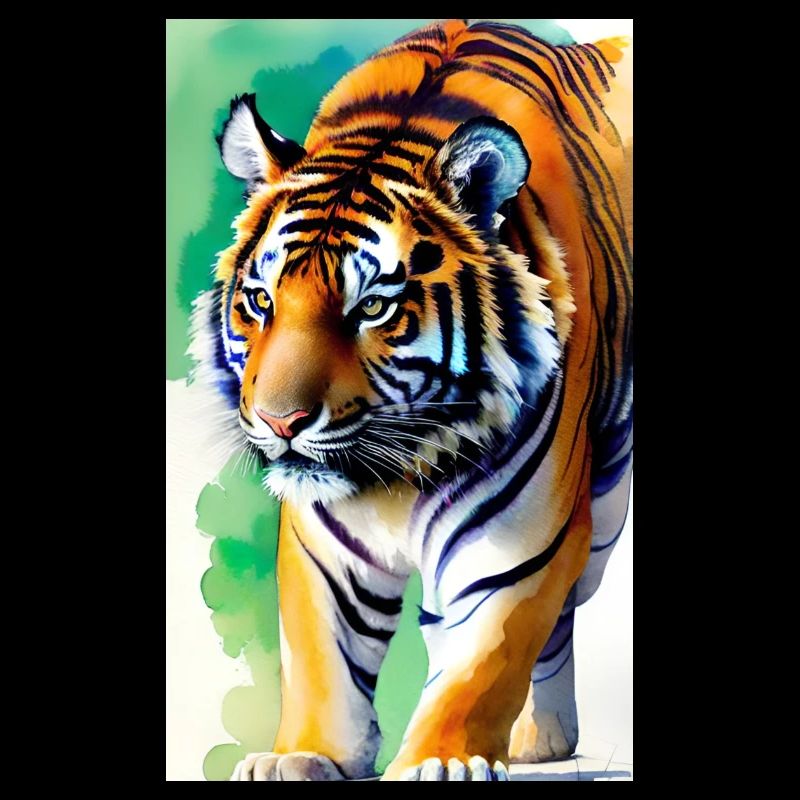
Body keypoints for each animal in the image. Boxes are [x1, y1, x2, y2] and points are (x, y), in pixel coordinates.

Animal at [189, 19, 632, 781]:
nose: (280, 421)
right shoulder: (321, 543)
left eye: (371, 307)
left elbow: (483, 663)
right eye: (262, 301)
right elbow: (323, 659)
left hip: (603, 503)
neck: (399, 469)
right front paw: (303, 754)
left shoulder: (519, 541)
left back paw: (541, 736)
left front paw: (442, 761)